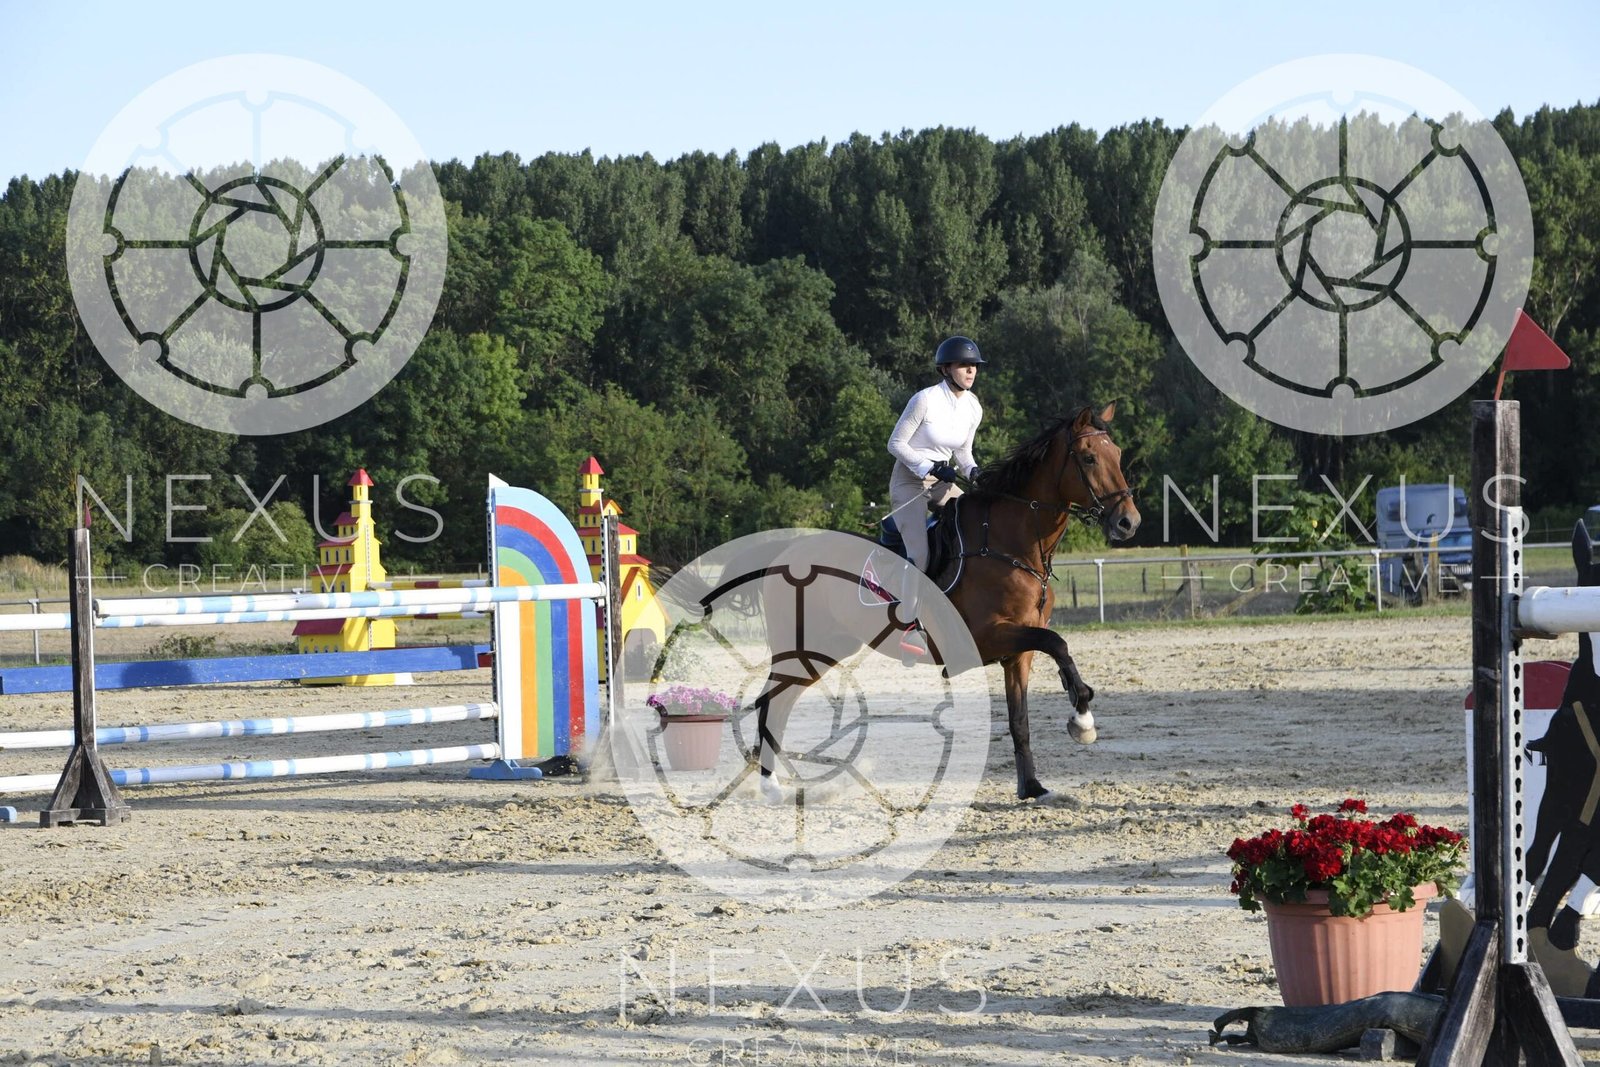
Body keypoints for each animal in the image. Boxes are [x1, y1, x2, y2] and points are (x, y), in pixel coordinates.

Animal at [671, 403, 1140, 803]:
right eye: (1088, 458)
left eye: (1117, 453)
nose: (1128, 522)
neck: (1013, 546)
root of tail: (784, 551)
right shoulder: (986, 638)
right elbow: (1058, 642)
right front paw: (1082, 718)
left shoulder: (1017, 652)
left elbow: (1020, 718)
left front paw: (1034, 788)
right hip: (805, 649)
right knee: (772, 702)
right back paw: (771, 785)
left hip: (827, 650)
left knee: (779, 700)